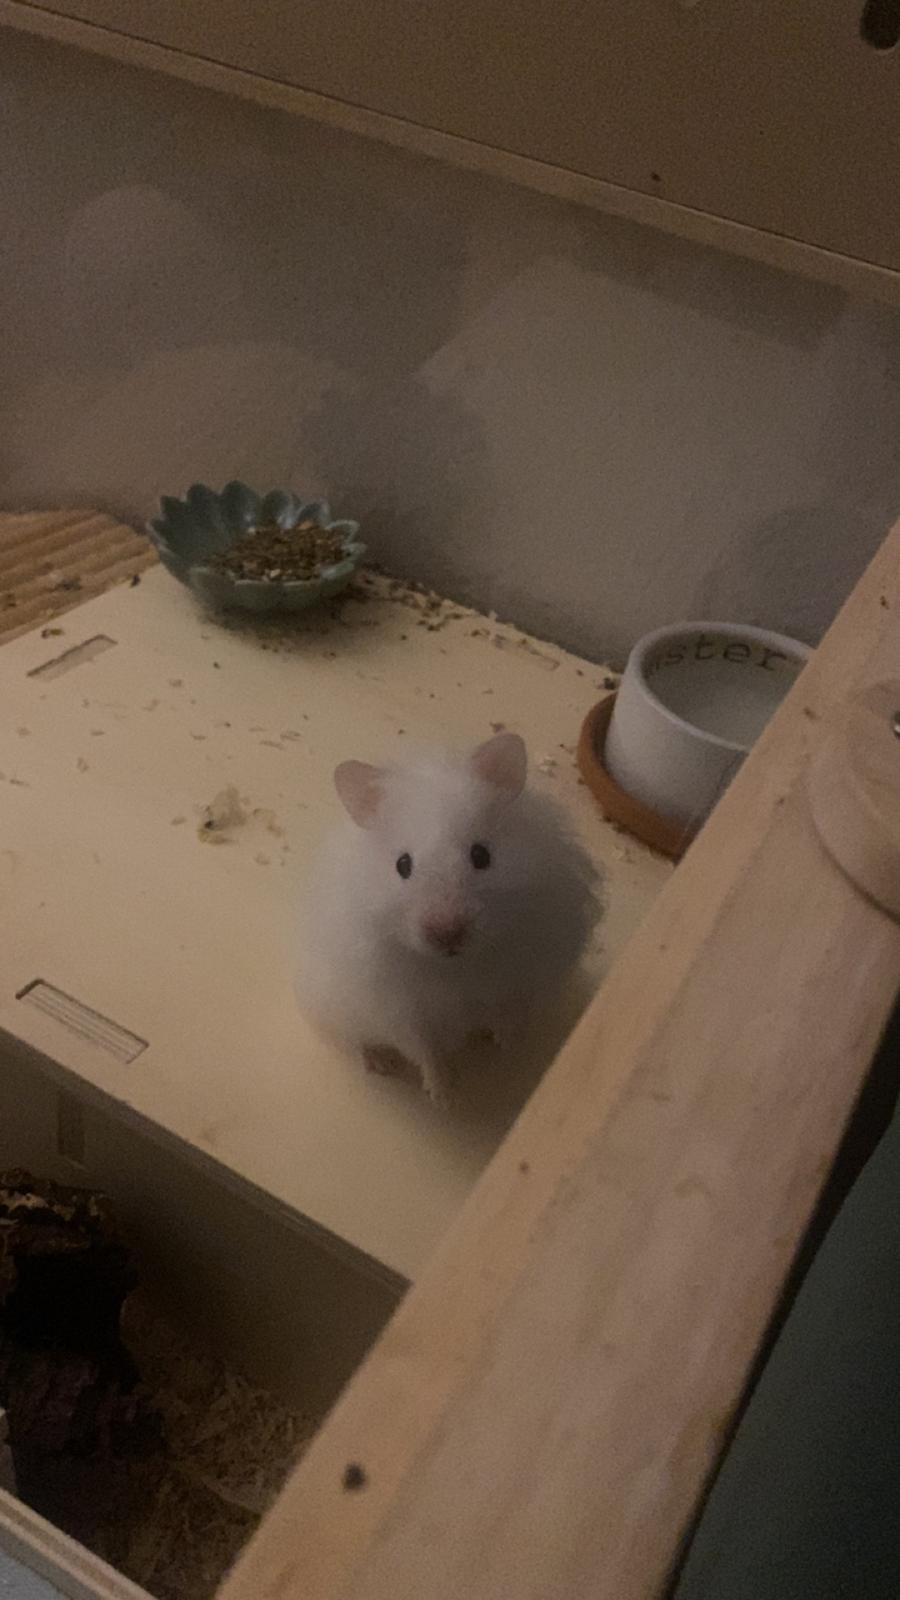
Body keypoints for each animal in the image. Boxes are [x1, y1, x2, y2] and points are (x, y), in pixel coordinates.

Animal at [295, 732, 603, 1105]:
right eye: (403, 865)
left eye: (481, 855)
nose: (448, 933)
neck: (456, 966)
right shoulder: (400, 1011)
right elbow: (424, 1050)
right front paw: (444, 1095)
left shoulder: (525, 978)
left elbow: (512, 1015)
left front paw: (507, 1047)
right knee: (361, 1043)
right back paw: (381, 1064)